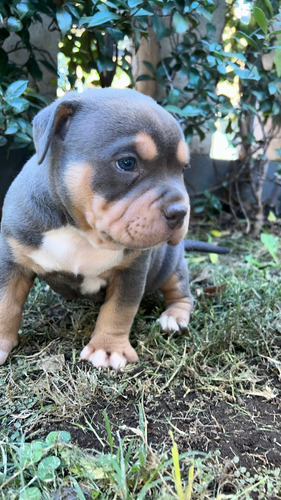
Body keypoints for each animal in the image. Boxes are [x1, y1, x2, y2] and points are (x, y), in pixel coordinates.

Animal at [0, 88, 192, 370]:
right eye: (127, 163)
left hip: (172, 264)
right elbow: (6, 303)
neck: (81, 229)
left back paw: (175, 316)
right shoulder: (12, 262)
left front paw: (108, 348)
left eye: (183, 169)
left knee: (181, 291)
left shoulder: (131, 271)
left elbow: (119, 310)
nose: (180, 211)